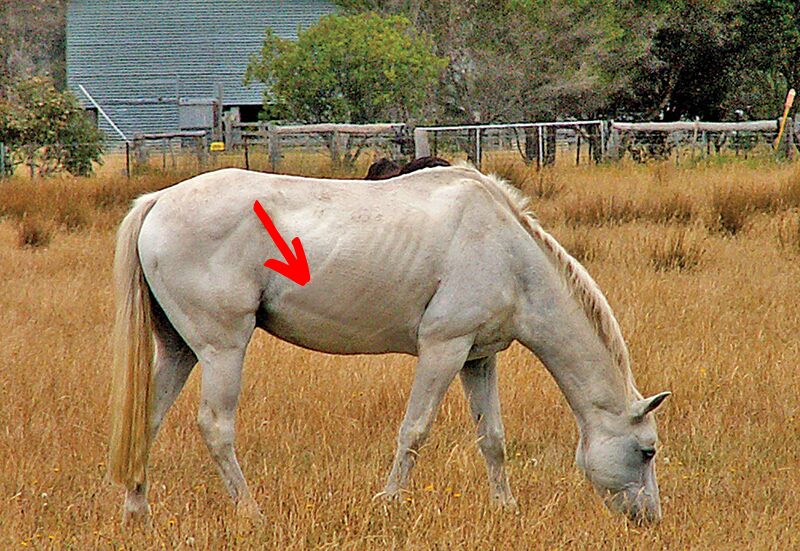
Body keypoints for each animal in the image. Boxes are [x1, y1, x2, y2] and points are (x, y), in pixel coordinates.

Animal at [108, 165, 670, 526]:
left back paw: (138, 512)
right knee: (216, 428)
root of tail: (158, 201)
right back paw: (252, 513)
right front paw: (389, 502)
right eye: (646, 451)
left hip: (179, 352)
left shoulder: (478, 358)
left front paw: (505, 509)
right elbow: (414, 431)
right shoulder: (444, 349)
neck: (509, 252)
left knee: (147, 419)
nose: (650, 520)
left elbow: (492, 438)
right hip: (222, 351)